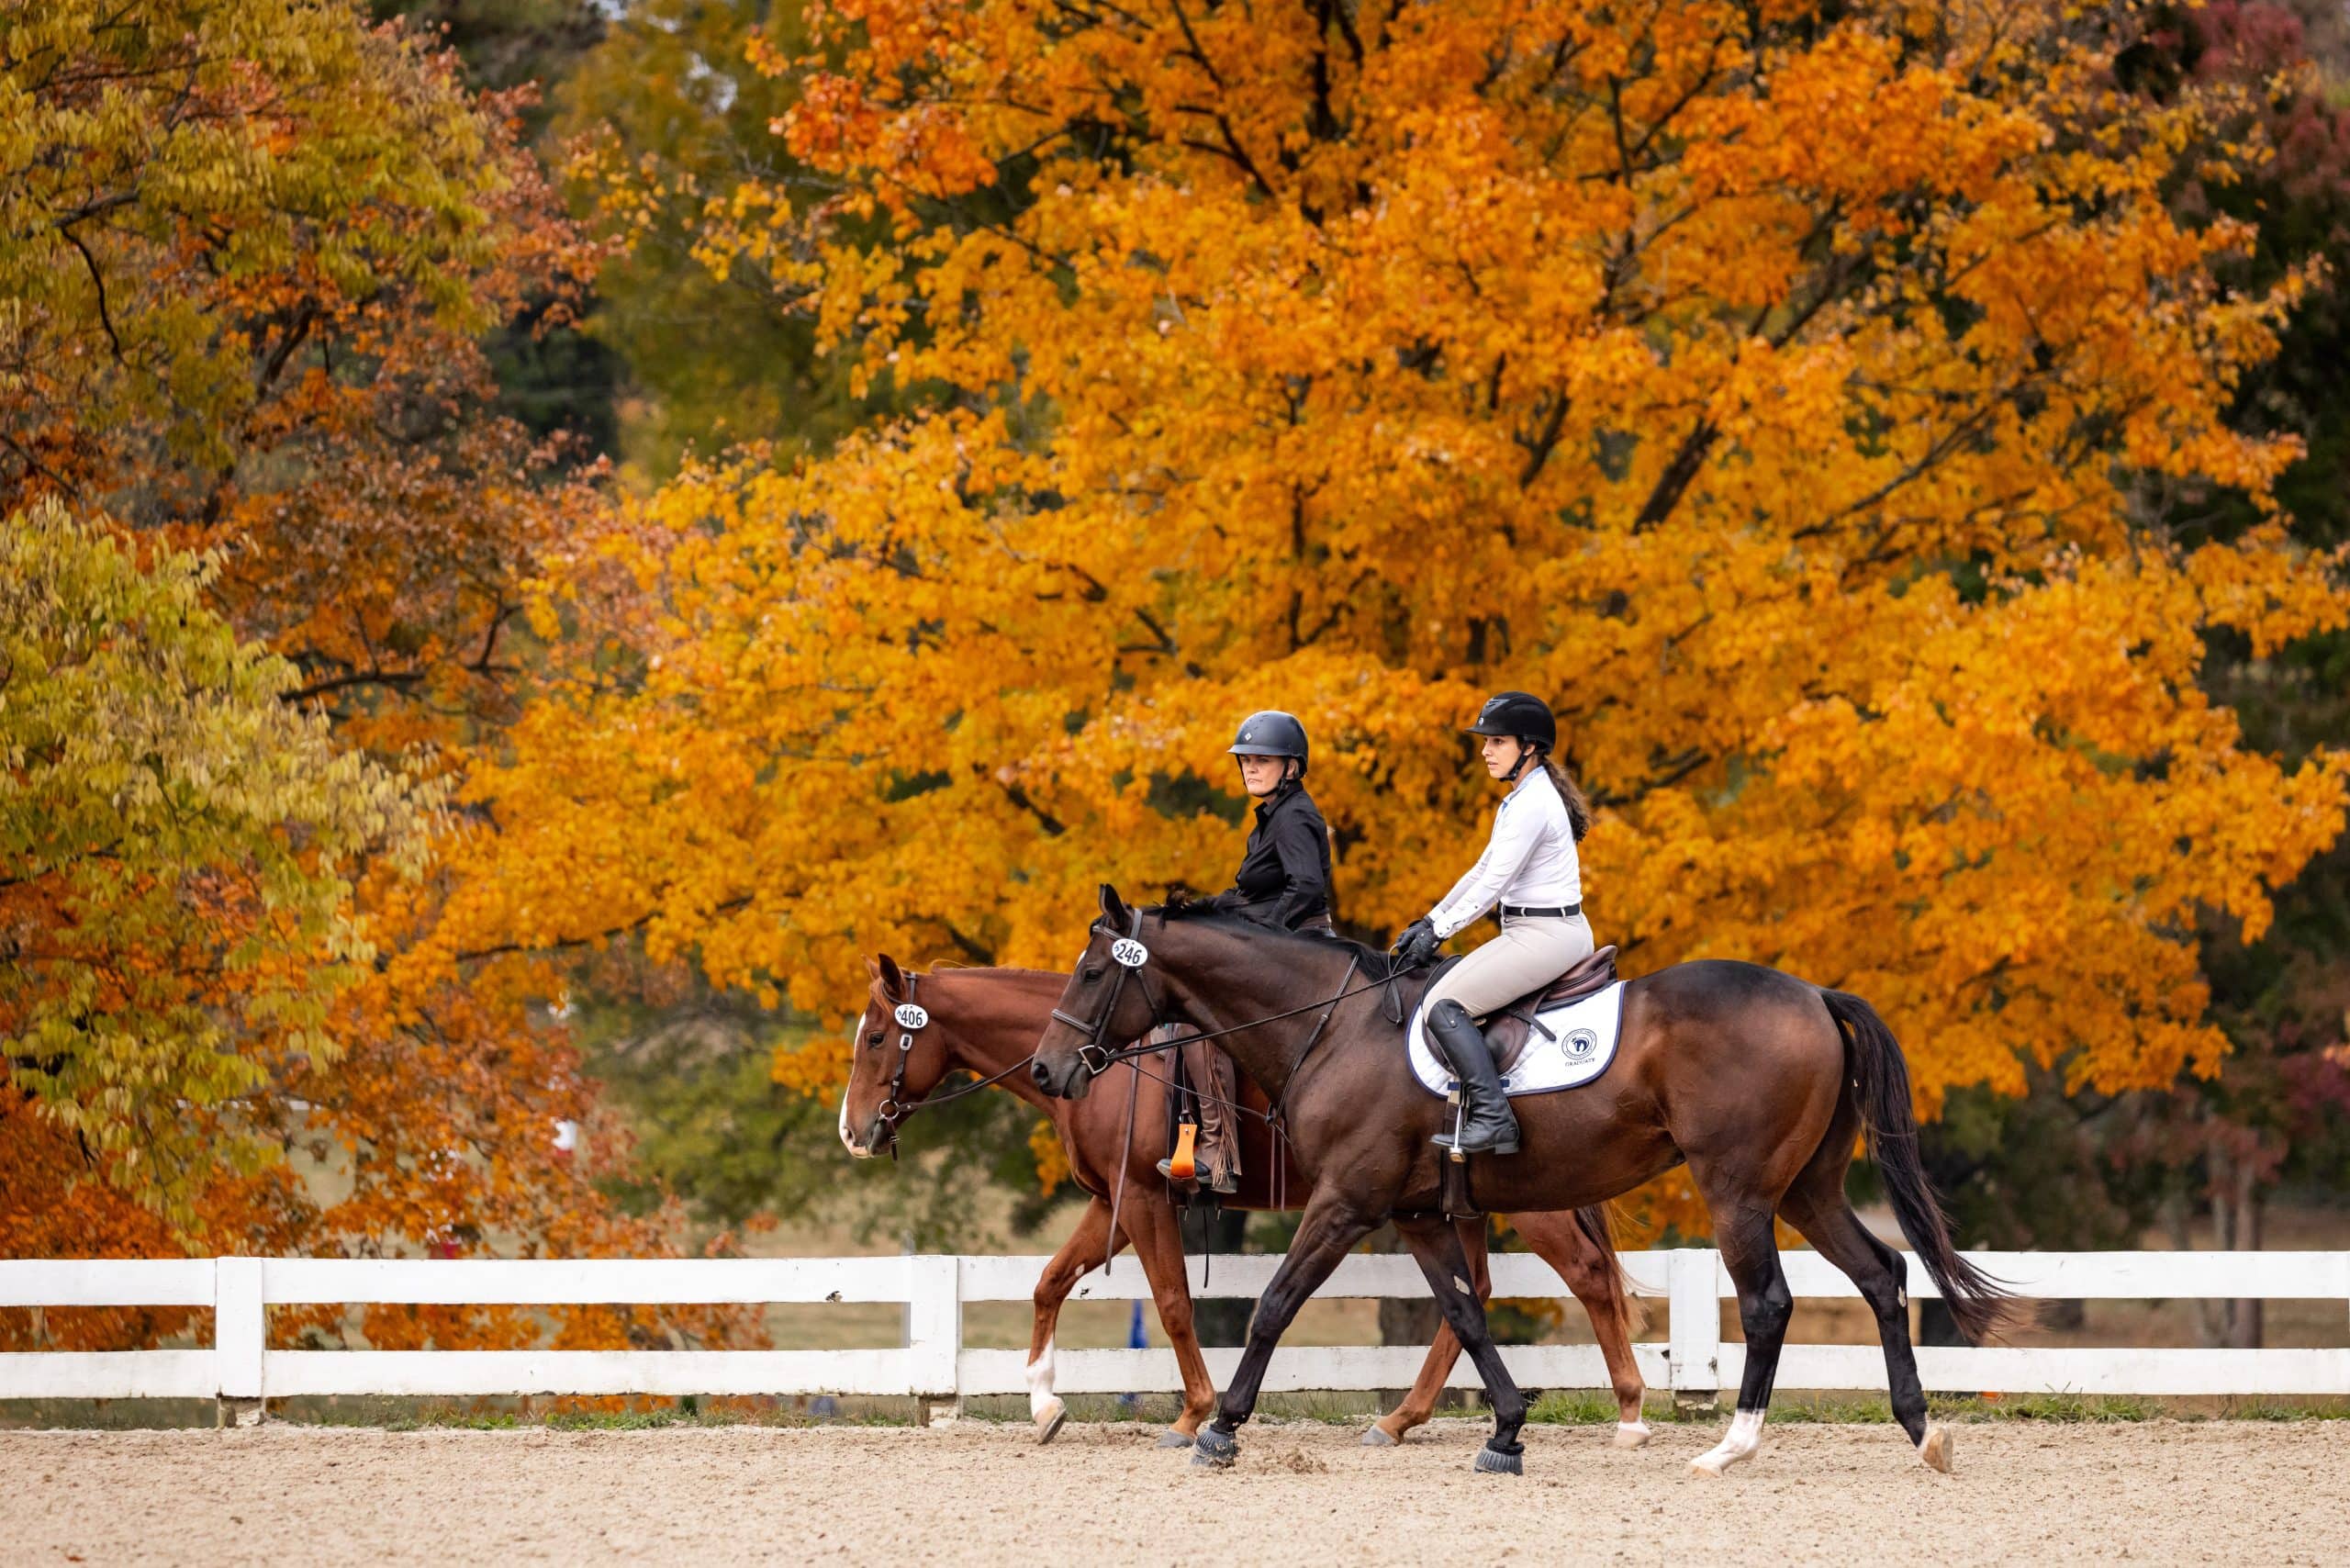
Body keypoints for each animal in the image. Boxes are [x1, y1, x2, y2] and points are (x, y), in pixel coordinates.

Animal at [845, 949, 1654, 1457]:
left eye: (878, 1037)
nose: (854, 1131)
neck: (1112, 1060)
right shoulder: (1113, 1202)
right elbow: (1049, 1283)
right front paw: (1045, 1405)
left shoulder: (1145, 1201)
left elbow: (1173, 1302)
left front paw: (1196, 1413)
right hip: (1459, 1203)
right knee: (1474, 1293)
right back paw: (1401, 1418)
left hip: (1532, 1199)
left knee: (1586, 1277)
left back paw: (1629, 1407)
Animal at [1038, 888, 2011, 1476]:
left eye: (1091, 972)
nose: (1050, 1070)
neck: (1332, 1026)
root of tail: (1813, 994)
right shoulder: (1415, 1212)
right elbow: (1465, 1311)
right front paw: (1505, 1431)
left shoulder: (1347, 1202)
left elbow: (1275, 1305)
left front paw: (1221, 1429)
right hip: (1807, 1187)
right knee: (1883, 1274)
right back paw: (1924, 1430)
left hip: (1738, 1191)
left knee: (1769, 1302)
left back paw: (1729, 1448)